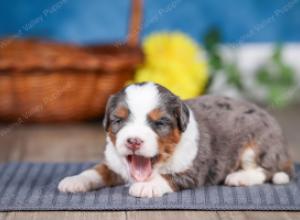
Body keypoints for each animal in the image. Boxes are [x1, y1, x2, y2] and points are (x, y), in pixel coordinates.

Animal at [58, 82, 292, 198]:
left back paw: (239, 177)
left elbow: (169, 177)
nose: (133, 141)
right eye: (118, 120)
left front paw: (146, 187)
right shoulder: (114, 163)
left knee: (267, 170)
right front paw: (74, 180)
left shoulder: (193, 169)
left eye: (160, 123)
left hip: (258, 143)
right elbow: (96, 171)